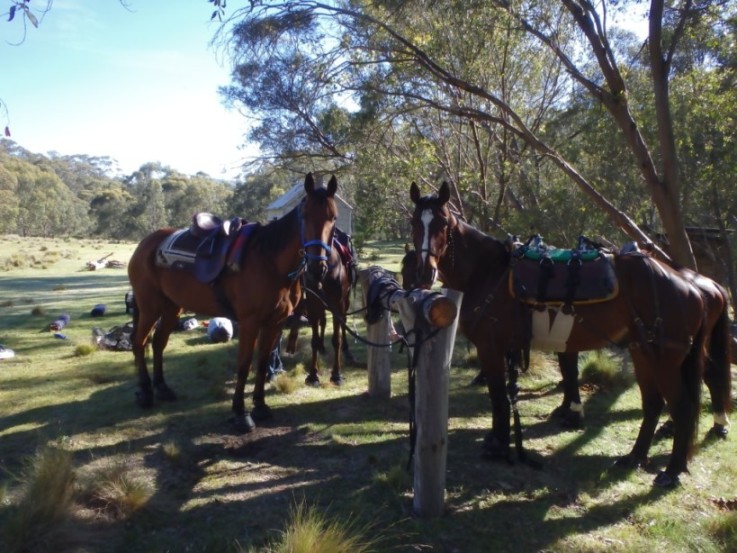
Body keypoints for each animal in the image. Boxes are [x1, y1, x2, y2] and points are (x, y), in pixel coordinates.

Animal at [127, 173, 339, 433]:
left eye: (333, 217)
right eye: (305, 216)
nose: (317, 267)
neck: (269, 261)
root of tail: (144, 244)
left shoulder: (275, 322)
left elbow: (262, 363)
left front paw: (260, 406)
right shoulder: (250, 322)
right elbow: (244, 365)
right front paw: (240, 413)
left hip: (171, 307)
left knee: (158, 343)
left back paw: (162, 388)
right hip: (150, 305)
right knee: (139, 341)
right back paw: (146, 393)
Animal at [285, 227, 357, 386]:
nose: (315, 269)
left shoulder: (338, 305)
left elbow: (336, 339)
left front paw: (336, 375)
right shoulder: (313, 303)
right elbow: (314, 339)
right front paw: (313, 375)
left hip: (346, 300)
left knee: (343, 323)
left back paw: (347, 352)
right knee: (323, 321)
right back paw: (322, 347)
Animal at [408, 181, 731, 486]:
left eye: (442, 223)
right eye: (413, 223)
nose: (424, 273)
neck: (487, 272)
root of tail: (694, 287)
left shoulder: (491, 348)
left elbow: (498, 398)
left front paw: (497, 445)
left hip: (665, 360)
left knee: (683, 406)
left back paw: (672, 471)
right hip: (643, 353)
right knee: (653, 404)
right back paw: (635, 457)